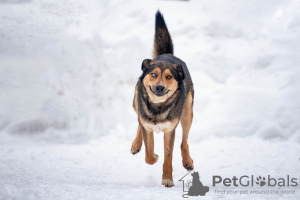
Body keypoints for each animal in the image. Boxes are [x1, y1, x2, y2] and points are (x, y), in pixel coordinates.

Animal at [131, 10, 195, 188]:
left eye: (169, 77)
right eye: (154, 74)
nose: (159, 87)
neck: (158, 107)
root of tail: (167, 54)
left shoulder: (169, 130)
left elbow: (168, 156)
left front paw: (167, 179)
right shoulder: (147, 126)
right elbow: (148, 154)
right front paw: (153, 156)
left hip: (187, 114)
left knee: (184, 141)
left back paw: (187, 161)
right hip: (135, 102)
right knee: (139, 122)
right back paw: (135, 144)